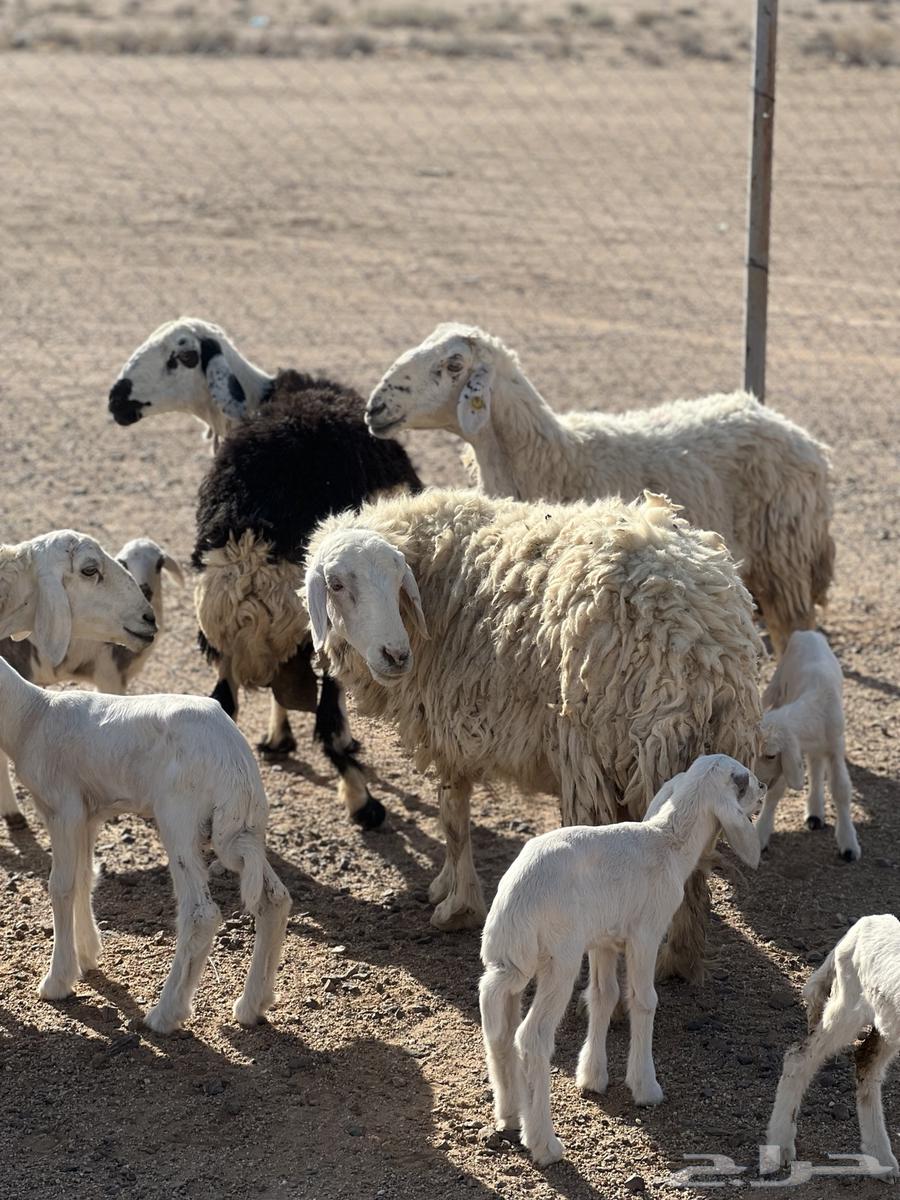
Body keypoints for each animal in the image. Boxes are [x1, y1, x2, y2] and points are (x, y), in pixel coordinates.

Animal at [192, 379, 422, 831]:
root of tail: (251, 548)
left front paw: (278, 739)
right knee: (327, 721)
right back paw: (364, 804)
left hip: (225, 643)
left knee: (226, 705)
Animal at [303, 487, 762, 981]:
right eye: (336, 585)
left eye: (396, 579)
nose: (395, 655)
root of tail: (701, 642)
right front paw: (444, 885)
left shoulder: (449, 724)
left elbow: (453, 818)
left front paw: (458, 907)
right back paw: (680, 958)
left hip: (601, 752)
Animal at [479, 755, 764, 1167]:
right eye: (742, 780)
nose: (764, 789)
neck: (669, 841)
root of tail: (516, 899)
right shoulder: (645, 934)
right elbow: (643, 1001)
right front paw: (645, 1086)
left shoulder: (603, 940)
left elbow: (603, 996)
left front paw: (592, 1077)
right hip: (559, 960)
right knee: (532, 1037)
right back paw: (544, 1143)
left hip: (505, 963)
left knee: (499, 1029)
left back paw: (510, 1116)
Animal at [754, 630, 860, 862]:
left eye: (771, 755)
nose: (755, 782)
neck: (816, 707)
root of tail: (806, 632)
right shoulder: (793, 751)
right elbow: (777, 792)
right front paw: (760, 835)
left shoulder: (836, 746)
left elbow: (841, 789)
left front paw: (848, 844)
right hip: (777, 684)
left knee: (816, 764)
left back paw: (815, 812)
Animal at [763, 915, 900, 1181]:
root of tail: (862, 924)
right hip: (847, 1006)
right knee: (799, 1058)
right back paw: (780, 1146)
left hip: (888, 1021)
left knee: (866, 1062)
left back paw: (880, 1158)